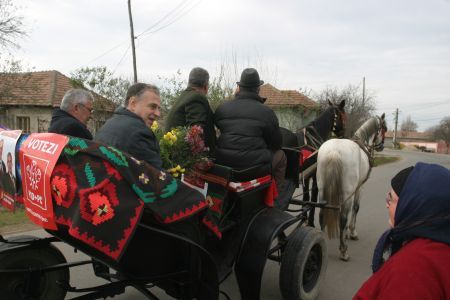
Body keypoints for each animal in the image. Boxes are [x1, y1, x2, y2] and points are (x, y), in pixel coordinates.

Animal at [316, 112, 386, 260]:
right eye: (384, 129)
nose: (382, 146)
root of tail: (335, 151)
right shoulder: (359, 188)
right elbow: (356, 208)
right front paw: (352, 232)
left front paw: (347, 233)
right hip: (347, 193)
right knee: (343, 218)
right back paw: (343, 250)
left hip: (322, 189)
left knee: (321, 213)